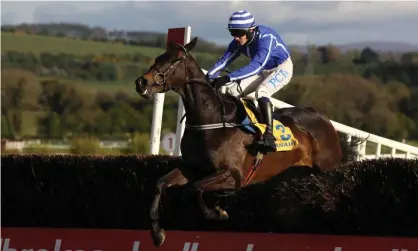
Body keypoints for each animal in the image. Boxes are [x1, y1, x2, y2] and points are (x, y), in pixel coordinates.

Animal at [134, 36, 342, 245]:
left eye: (174, 60)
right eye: (158, 57)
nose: (142, 82)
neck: (211, 119)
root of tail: (322, 117)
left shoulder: (233, 174)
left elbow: (195, 188)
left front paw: (217, 212)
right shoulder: (193, 168)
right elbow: (160, 183)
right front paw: (157, 233)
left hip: (327, 166)